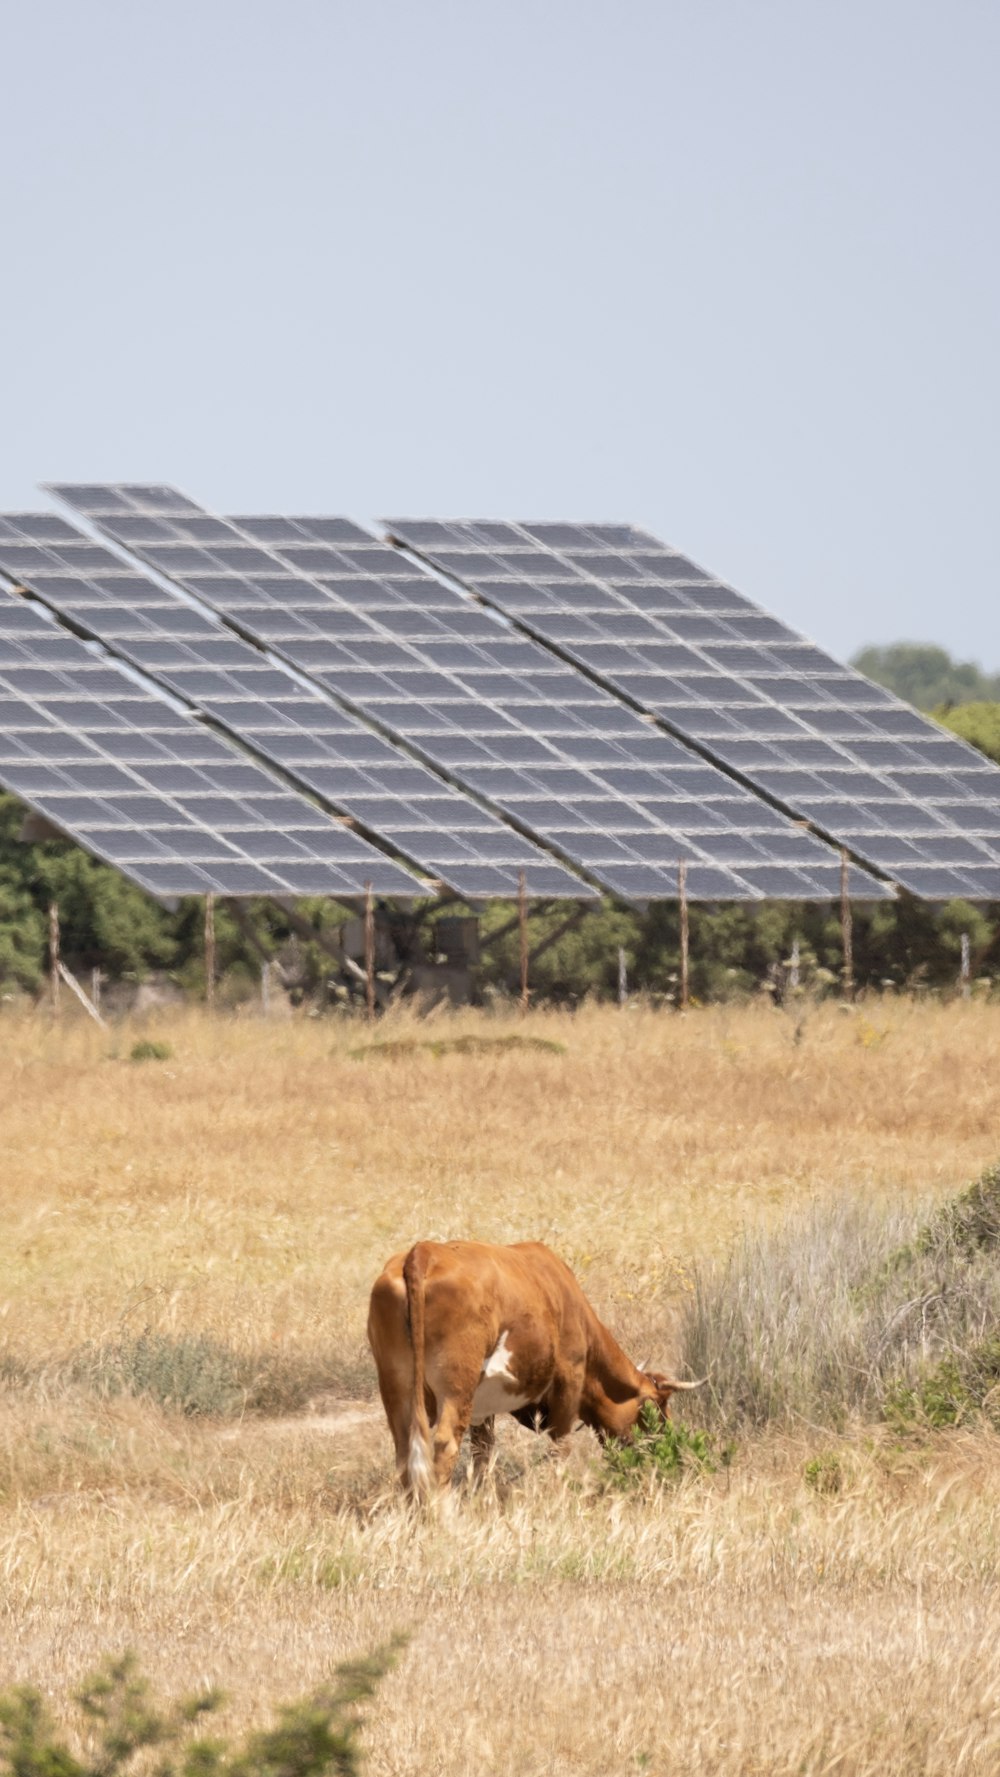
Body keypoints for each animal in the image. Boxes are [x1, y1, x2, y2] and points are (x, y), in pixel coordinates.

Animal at [365, 1236, 703, 1499]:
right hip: (456, 1385)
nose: (665, 1450)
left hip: (396, 1384)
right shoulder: (569, 1377)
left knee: (406, 1450)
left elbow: (483, 1453)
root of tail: (424, 1252)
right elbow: (560, 1445)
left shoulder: (482, 1408)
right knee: (444, 1445)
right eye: (656, 1409)